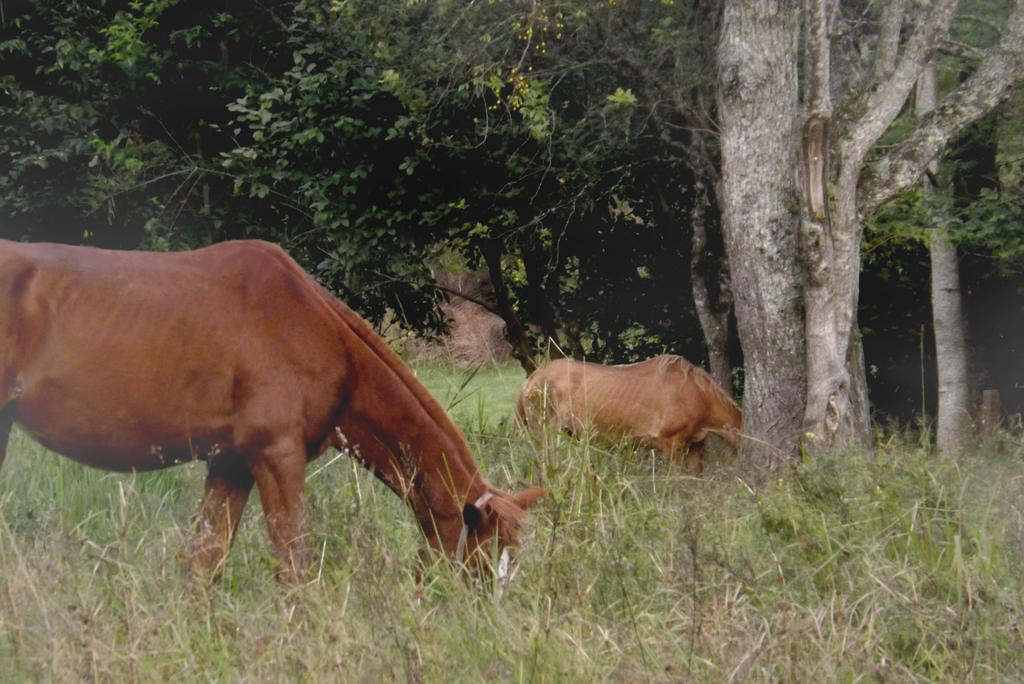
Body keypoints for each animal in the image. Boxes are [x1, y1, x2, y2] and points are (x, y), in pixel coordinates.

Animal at [0, 239, 544, 581]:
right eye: (488, 556)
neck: (316, 329)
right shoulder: (277, 456)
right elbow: (294, 569)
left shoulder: (231, 463)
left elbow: (205, 565)